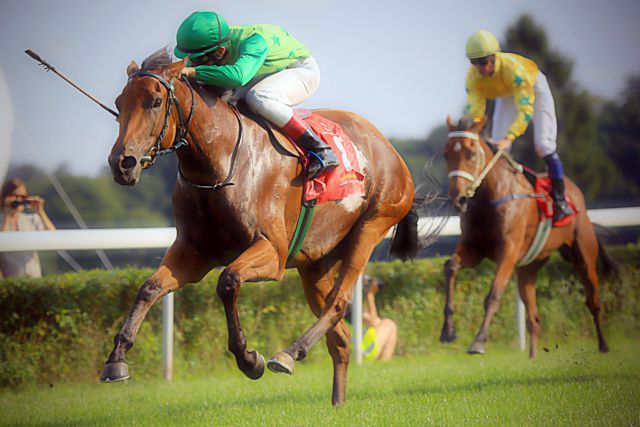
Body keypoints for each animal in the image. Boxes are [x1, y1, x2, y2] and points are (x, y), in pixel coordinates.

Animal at [100, 50, 420, 404]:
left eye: (155, 101)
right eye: (119, 102)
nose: (122, 163)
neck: (220, 163)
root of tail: (388, 148)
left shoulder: (272, 251)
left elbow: (228, 281)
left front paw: (249, 359)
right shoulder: (193, 252)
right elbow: (150, 288)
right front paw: (116, 360)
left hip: (371, 225)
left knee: (339, 303)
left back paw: (289, 354)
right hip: (315, 262)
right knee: (340, 336)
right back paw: (337, 401)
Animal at [438, 116, 612, 358]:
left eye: (471, 154)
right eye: (446, 154)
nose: (458, 199)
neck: (490, 198)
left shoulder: (508, 251)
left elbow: (494, 294)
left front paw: (478, 341)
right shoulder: (474, 247)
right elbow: (451, 266)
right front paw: (448, 331)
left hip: (583, 256)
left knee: (593, 301)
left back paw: (604, 346)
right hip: (528, 268)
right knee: (534, 318)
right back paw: (532, 357)